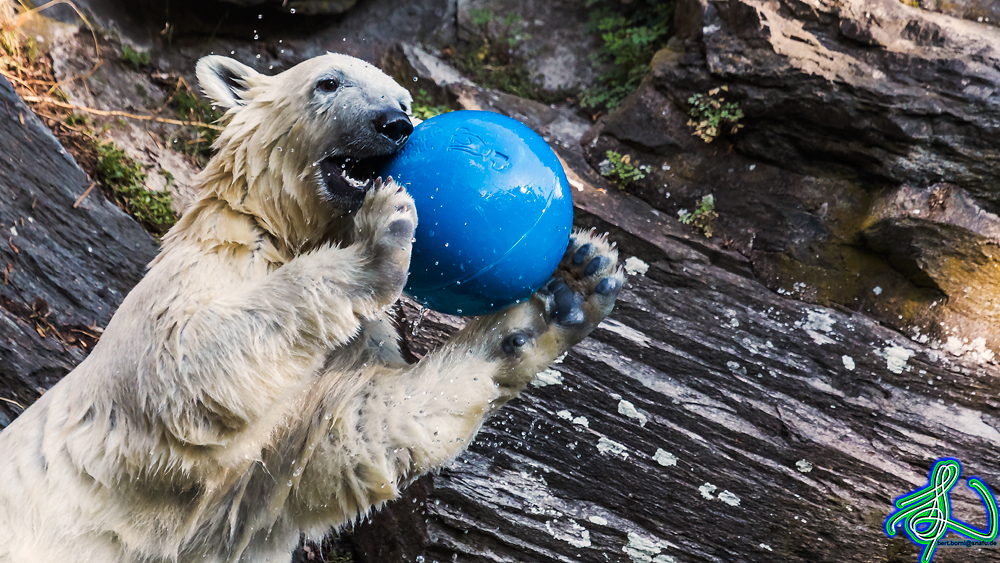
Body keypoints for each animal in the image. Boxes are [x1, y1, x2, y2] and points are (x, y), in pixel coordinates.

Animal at [0, 53, 620, 563]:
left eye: (405, 100)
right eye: (329, 82)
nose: (394, 124)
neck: (284, 231)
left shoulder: (256, 480)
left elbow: (350, 431)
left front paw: (574, 285)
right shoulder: (198, 277)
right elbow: (182, 357)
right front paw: (382, 235)